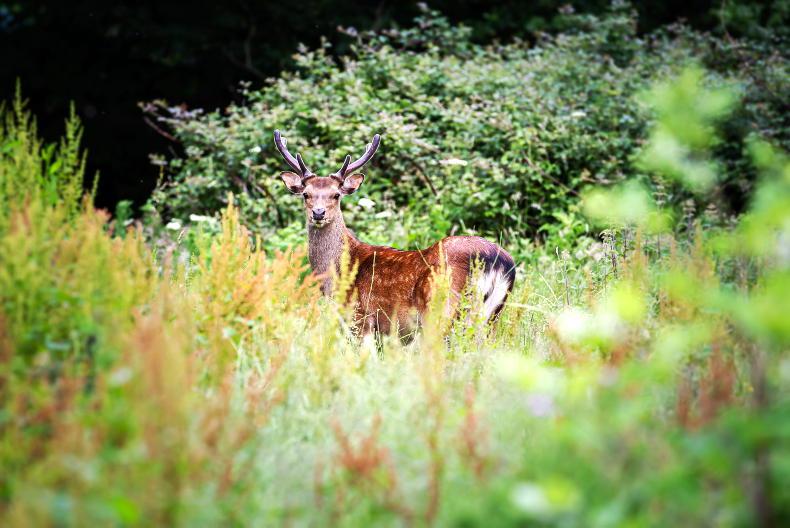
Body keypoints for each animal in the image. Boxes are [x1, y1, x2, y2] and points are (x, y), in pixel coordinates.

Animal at [274, 130, 516, 338]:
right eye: (306, 194)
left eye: (336, 195)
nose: (318, 212)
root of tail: (497, 261)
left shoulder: (361, 318)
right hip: (491, 316)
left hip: (441, 309)